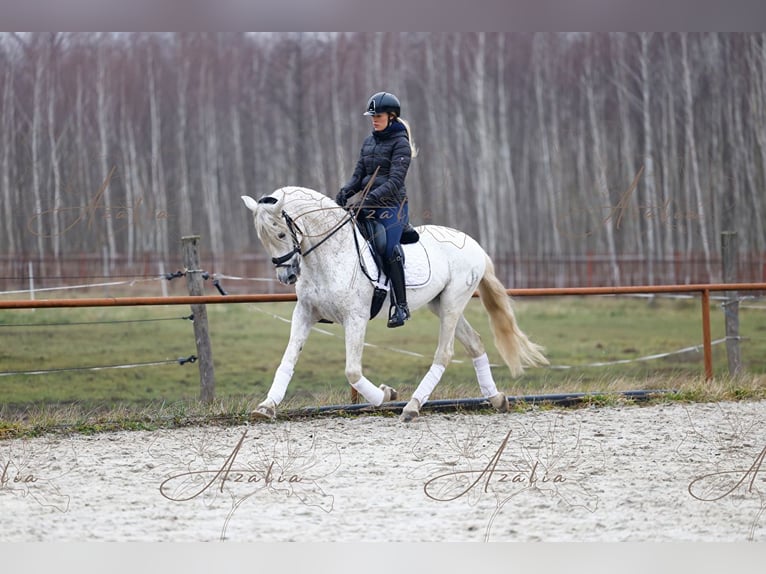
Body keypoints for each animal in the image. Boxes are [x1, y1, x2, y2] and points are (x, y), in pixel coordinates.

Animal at [243, 188, 548, 424]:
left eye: (281, 235)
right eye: (262, 238)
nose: (287, 276)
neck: (329, 253)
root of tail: (474, 244)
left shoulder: (355, 318)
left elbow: (352, 371)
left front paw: (386, 395)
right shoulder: (304, 314)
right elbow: (288, 360)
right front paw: (266, 407)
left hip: (452, 302)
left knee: (445, 352)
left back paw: (412, 406)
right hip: (441, 304)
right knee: (474, 343)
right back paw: (496, 399)